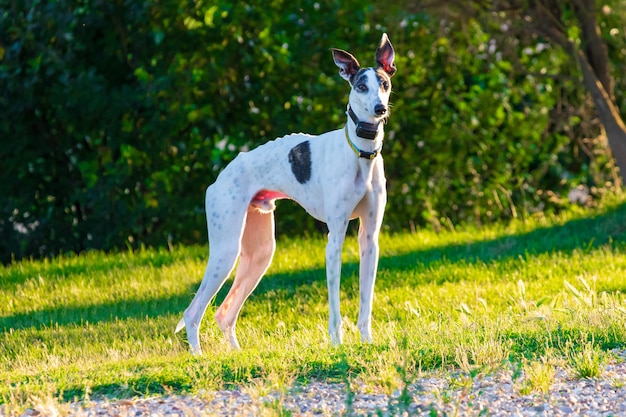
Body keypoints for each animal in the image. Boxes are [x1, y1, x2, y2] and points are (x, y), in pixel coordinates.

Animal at [174, 32, 394, 352]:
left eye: (385, 84)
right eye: (361, 86)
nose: (380, 109)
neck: (359, 153)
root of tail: (220, 177)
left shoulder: (370, 239)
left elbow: (366, 303)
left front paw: (367, 342)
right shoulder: (335, 239)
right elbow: (335, 306)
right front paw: (337, 345)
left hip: (261, 253)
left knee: (224, 313)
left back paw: (235, 354)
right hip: (226, 250)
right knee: (193, 312)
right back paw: (199, 356)